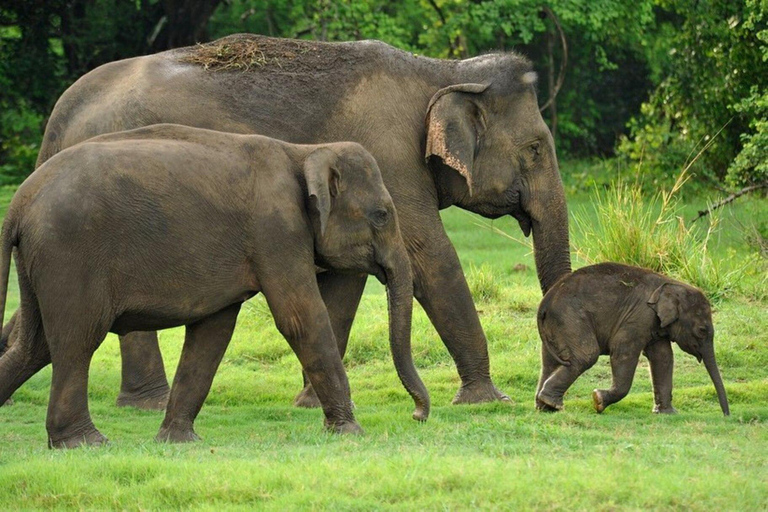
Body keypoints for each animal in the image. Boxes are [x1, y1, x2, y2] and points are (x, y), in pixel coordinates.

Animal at [0, 124, 432, 448]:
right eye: (382, 215)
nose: (418, 415)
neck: (304, 151)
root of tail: (19, 202)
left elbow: (213, 332)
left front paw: (178, 442)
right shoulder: (276, 230)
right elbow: (300, 318)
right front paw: (352, 433)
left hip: (43, 261)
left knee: (34, 346)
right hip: (70, 254)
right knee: (77, 340)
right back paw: (86, 443)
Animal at [19, 33, 568, 408]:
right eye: (535, 149)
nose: (544, 400)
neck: (440, 72)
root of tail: (60, 118)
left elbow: (345, 282)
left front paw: (307, 402)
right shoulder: (390, 159)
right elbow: (430, 256)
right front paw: (487, 400)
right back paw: (149, 402)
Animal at [536, 264, 728, 416]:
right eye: (702, 331)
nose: (727, 415)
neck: (671, 285)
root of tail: (545, 303)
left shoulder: (654, 324)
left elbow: (663, 357)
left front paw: (667, 413)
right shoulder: (639, 317)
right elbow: (623, 352)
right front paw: (598, 400)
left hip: (557, 326)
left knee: (550, 362)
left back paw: (545, 406)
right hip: (570, 318)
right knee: (586, 356)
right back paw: (552, 403)